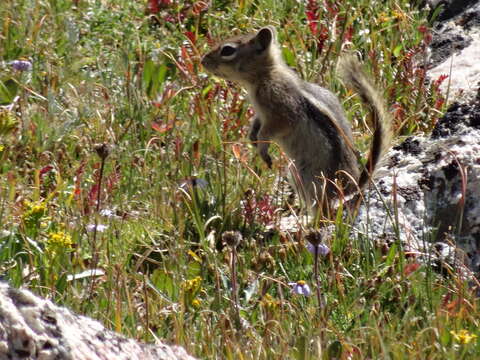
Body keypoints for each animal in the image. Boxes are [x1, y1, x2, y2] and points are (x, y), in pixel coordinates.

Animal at [201, 27, 392, 214]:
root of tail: (351, 187)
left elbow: (272, 129)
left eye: (227, 50)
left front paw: (262, 148)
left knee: (324, 209)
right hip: (294, 174)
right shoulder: (262, 115)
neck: (266, 75)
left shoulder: (281, 110)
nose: (203, 61)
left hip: (313, 180)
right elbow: (257, 124)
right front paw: (252, 137)